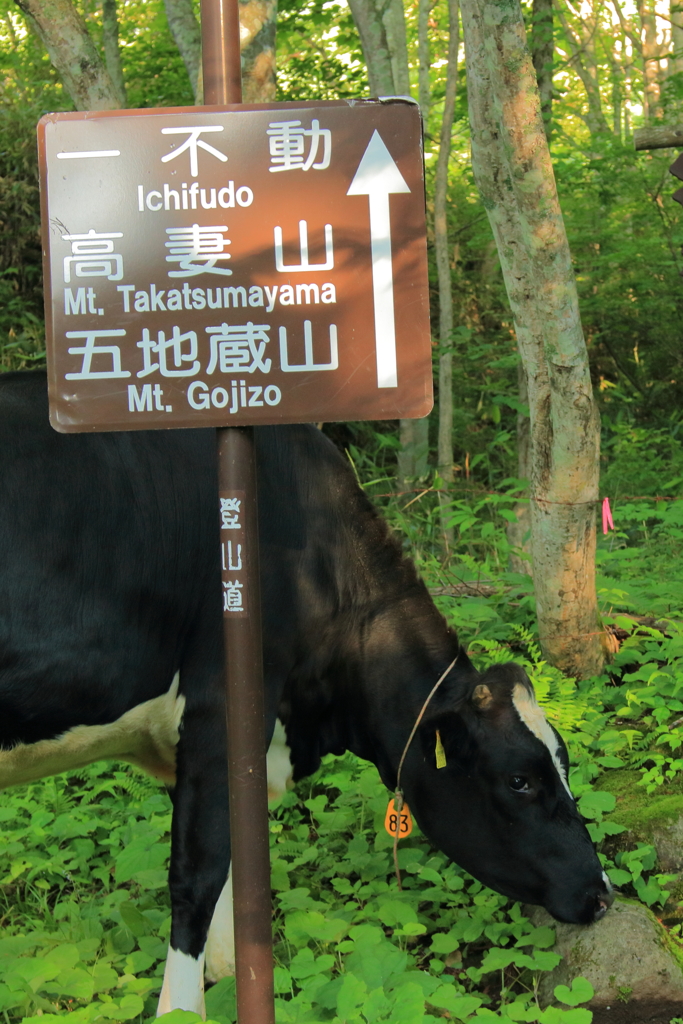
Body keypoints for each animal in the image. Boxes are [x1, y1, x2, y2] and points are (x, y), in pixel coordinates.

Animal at [0, 374, 610, 1015]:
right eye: (519, 780)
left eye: (564, 761)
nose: (602, 893)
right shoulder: (220, 708)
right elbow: (197, 875)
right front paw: (182, 1012)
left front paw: (228, 974)